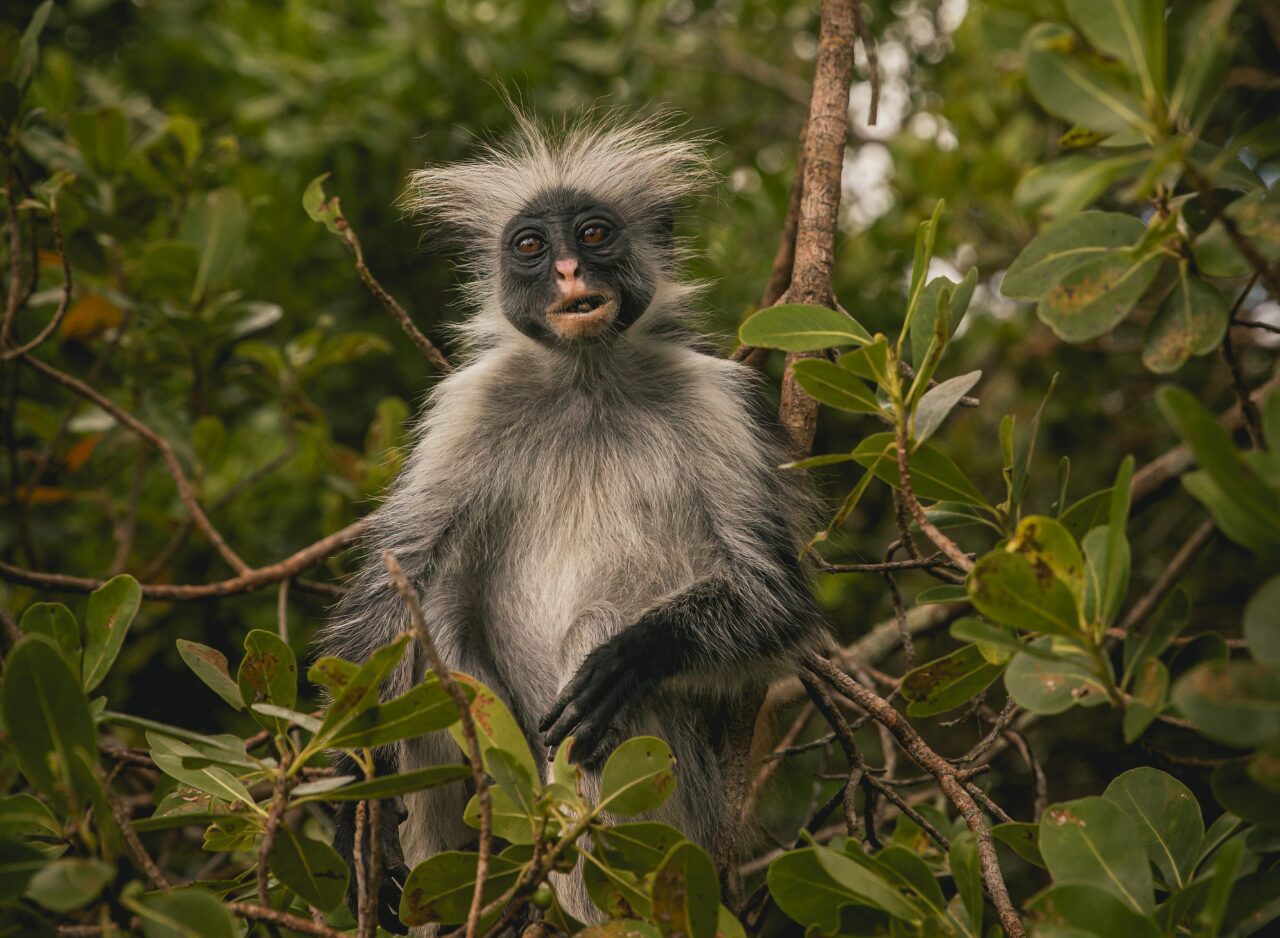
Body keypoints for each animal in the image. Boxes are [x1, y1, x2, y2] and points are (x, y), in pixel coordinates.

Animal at [317, 111, 825, 933]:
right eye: (529, 246)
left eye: (593, 234)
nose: (566, 273)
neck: (587, 381)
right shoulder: (471, 404)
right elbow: (392, 594)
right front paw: (353, 807)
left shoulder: (715, 402)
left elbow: (778, 604)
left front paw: (637, 653)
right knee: (432, 635)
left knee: (593, 647)